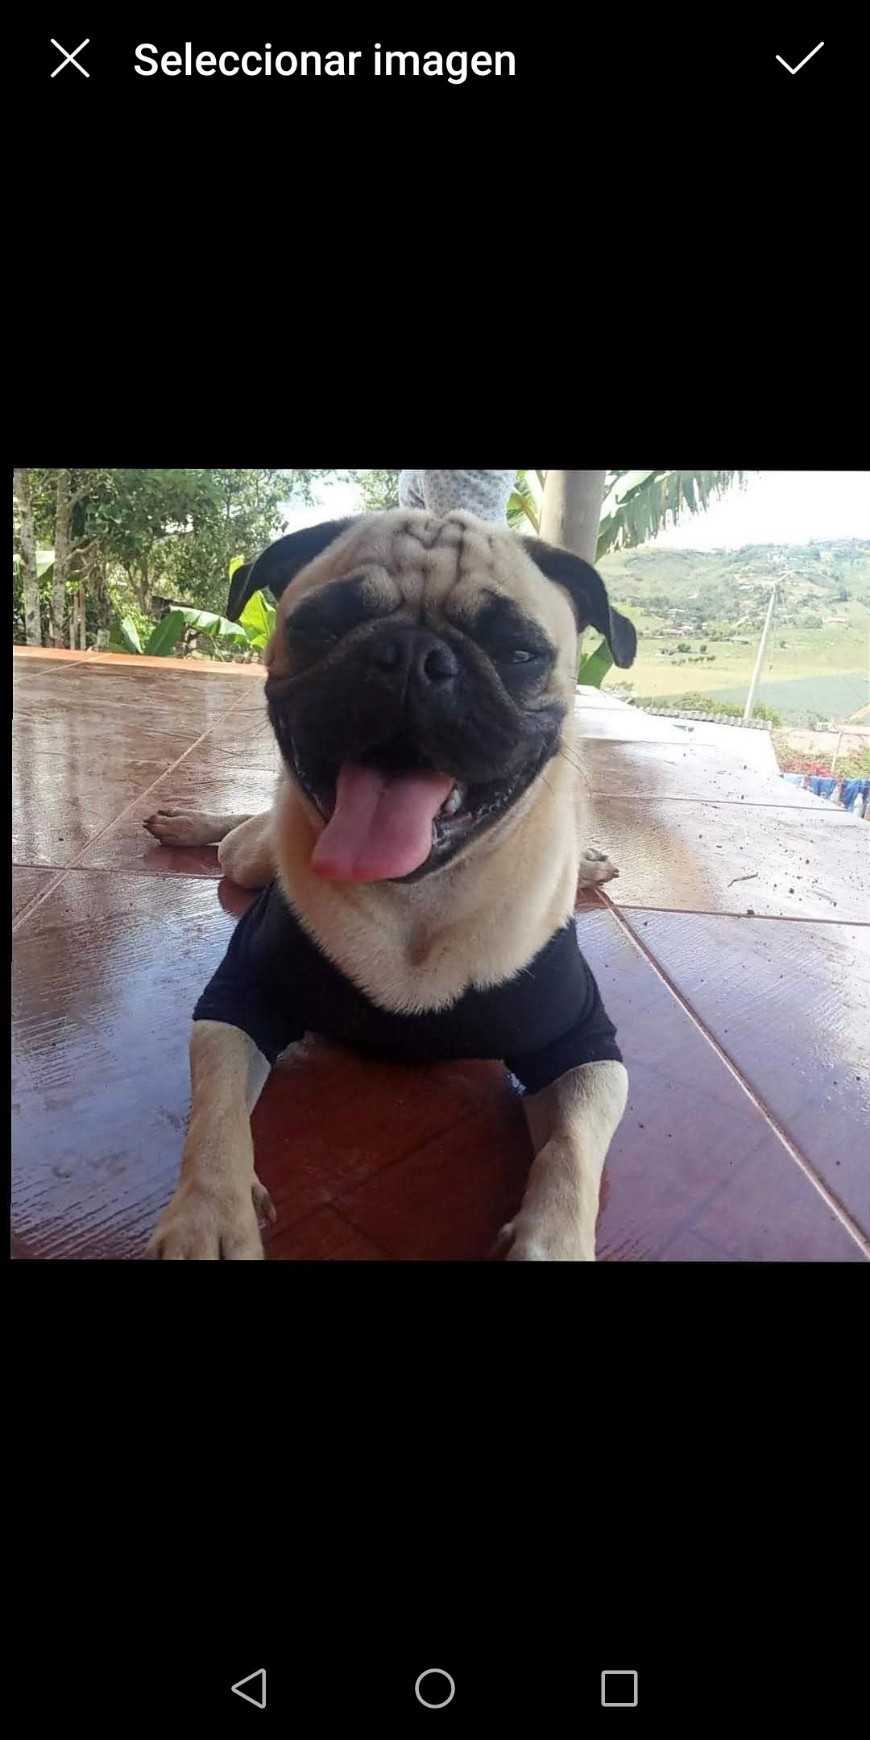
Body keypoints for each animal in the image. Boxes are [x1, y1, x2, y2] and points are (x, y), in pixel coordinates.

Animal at [143, 510, 637, 1260]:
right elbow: (217, 1114)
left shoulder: (585, 1049)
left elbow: (571, 1152)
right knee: (241, 835)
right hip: (246, 860)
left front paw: (550, 1240)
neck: (416, 900)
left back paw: (585, 865)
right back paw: (190, 825)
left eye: (518, 652)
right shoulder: (236, 1001)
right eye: (322, 626)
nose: (412, 655)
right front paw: (209, 1214)